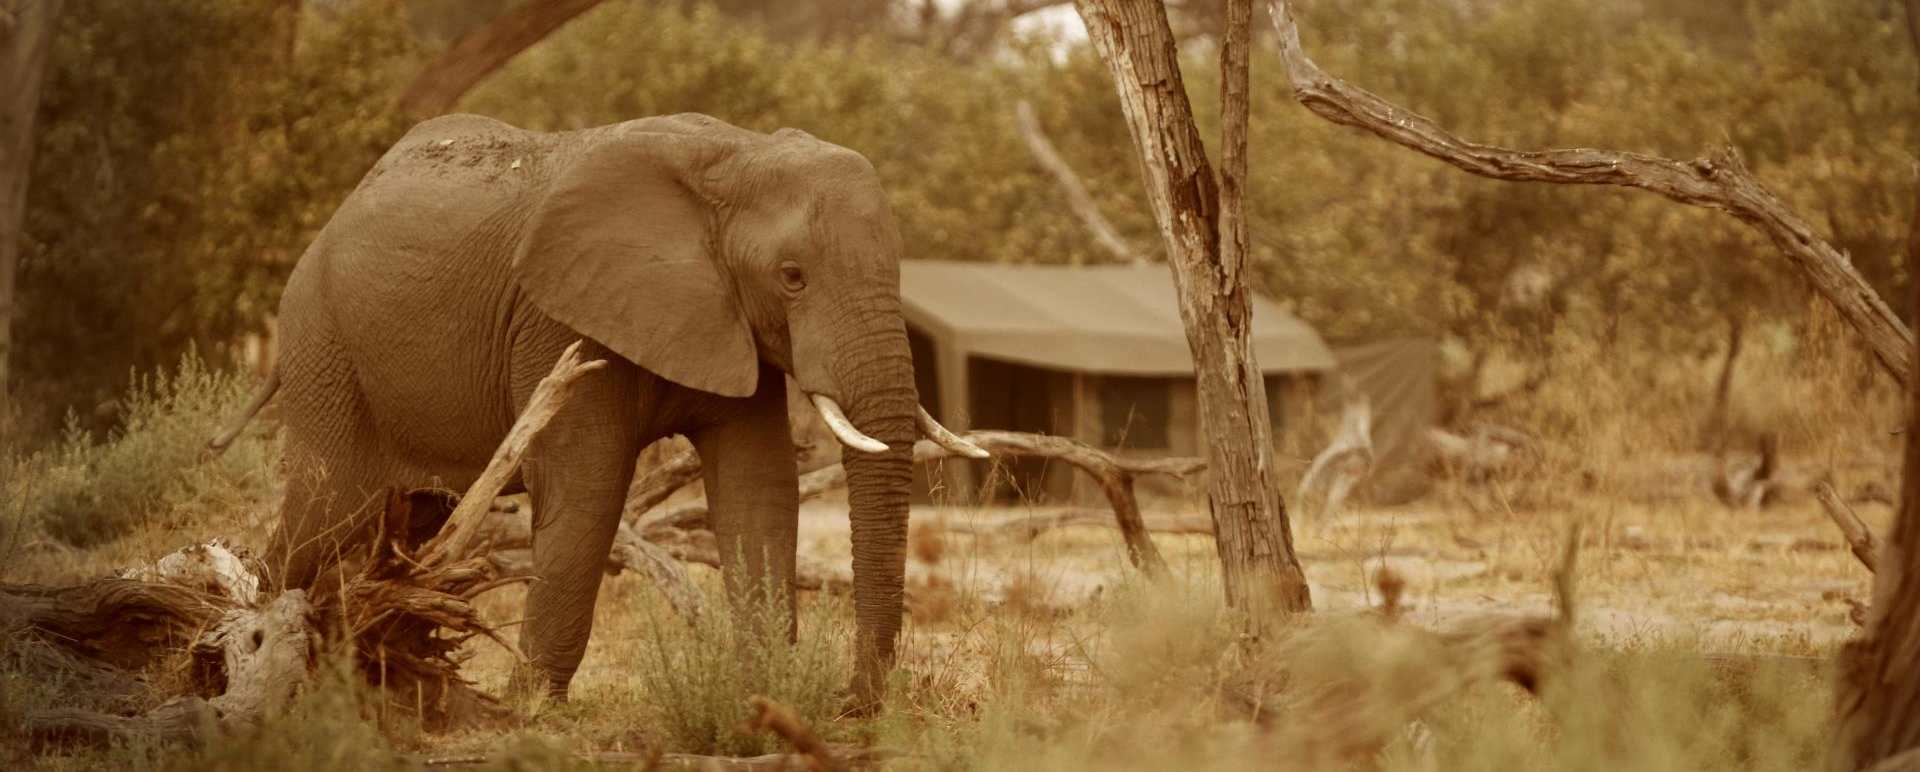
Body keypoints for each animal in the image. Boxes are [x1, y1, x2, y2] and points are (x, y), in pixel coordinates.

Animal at [222, 112, 986, 705]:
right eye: (791, 278)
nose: (853, 699)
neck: (736, 156)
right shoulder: (559, 321)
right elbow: (586, 486)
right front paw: (531, 711)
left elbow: (759, 487)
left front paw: (765, 693)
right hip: (323, 341)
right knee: (327, 508)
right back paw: (245, 647)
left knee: (408, 518)